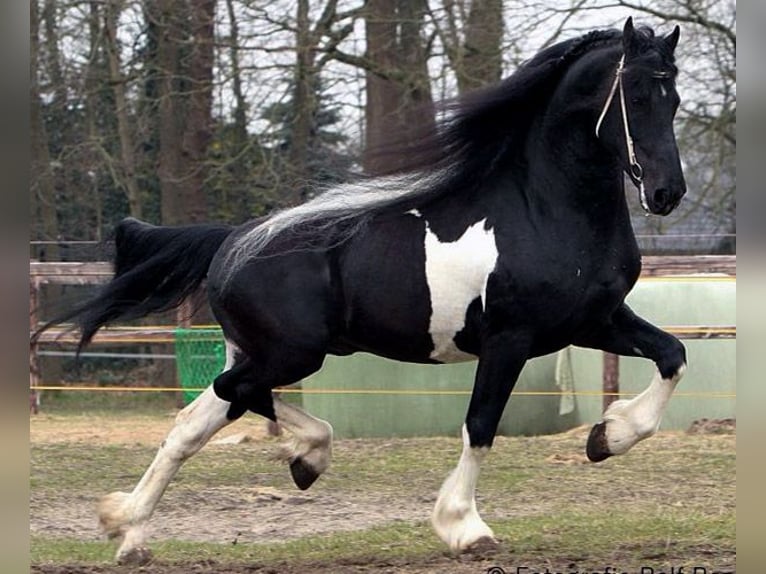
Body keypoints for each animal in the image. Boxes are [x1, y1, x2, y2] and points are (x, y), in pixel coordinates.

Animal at [37, 18, 688, 568]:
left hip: (266, 351)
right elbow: (480, 425)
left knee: (205, 415)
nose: (666, 193)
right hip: (291, 352)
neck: (543, 210)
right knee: (227, 398)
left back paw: (136, 527)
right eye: (635, 96)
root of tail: (232, 241)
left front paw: (607, 437)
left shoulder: (595, 321)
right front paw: (464, 527)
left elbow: (673, 356)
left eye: (675, 97)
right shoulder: (511, 338)